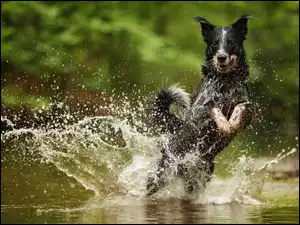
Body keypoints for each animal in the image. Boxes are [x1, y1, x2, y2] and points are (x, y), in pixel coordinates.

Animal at [146, 14, 254, 197]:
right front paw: (225, 125)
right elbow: (213, 108)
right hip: (163, 173)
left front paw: (232, 123)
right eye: (215, 43)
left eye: (231, 42)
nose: (221, 57)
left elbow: (242, 108)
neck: (225, 83)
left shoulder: (246, 107)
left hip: (199, 177)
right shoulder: (199, 111)